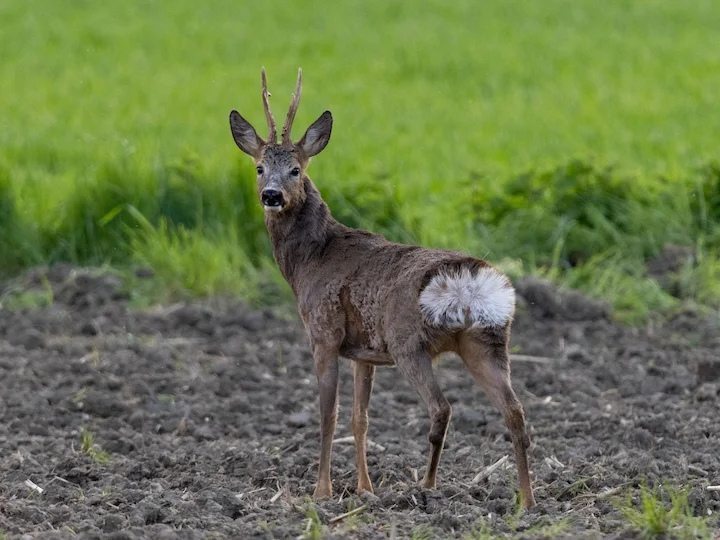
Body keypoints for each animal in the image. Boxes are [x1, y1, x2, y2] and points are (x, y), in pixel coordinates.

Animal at [228, 68, 536, 508]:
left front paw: (322, 492)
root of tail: (469, 282)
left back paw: (427, 486)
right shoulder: (364, 352)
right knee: (516, 412)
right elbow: (361, 419)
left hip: (409, 341)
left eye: (296, 170)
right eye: (258, 168)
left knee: (442, 408)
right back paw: (526, 501)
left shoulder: (323, 333)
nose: (272, 195)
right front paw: (365, 489)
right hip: (487, 341)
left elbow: (329, 415)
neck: (311, 259)